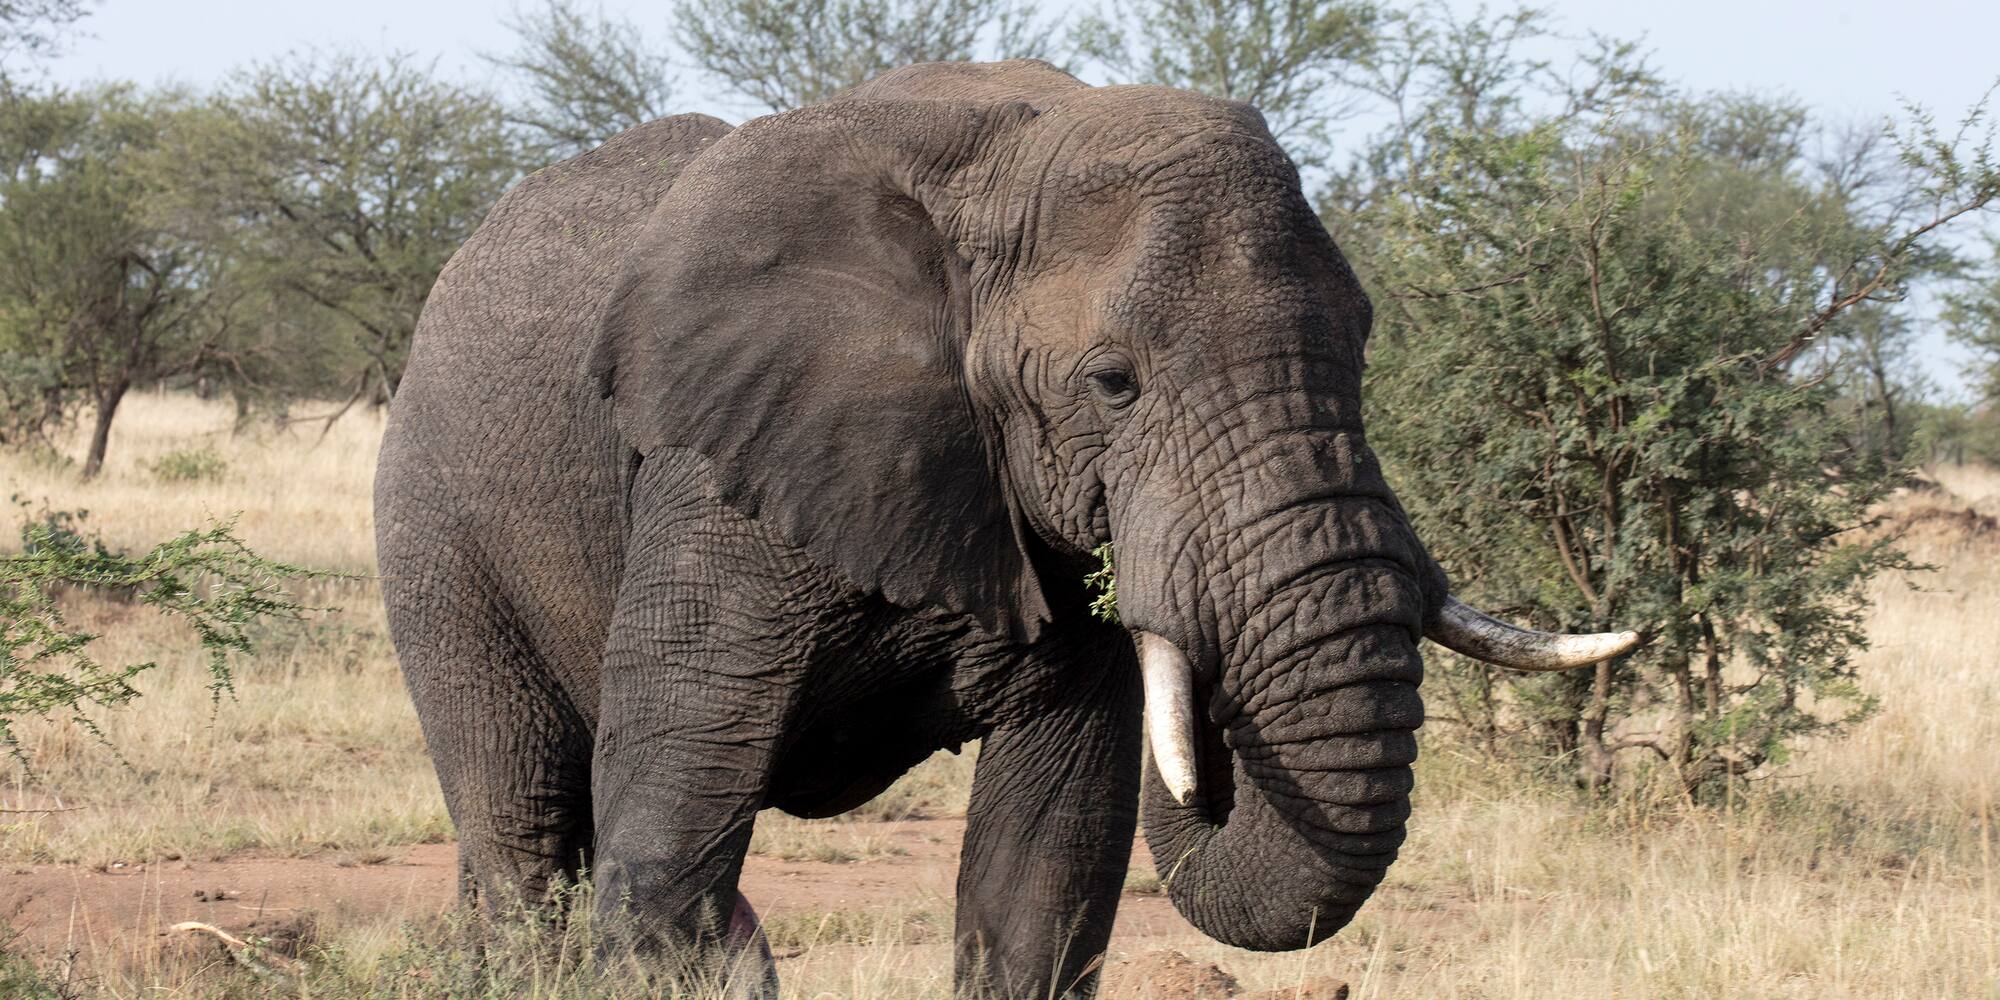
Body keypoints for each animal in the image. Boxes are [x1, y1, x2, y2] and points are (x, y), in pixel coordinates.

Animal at [373, 58, 1637, 999]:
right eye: (1113, 383)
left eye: (1364, 346)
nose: (1214, 746)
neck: (1002, 156)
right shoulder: (715, 470)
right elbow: (666, 844)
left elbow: (1045, 865)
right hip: (434, 534)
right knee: (526, 826)